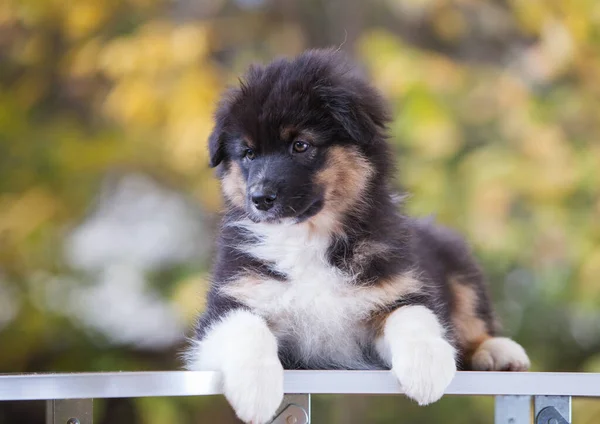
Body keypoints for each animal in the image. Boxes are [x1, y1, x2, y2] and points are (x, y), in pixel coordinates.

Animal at [184, 48, 528, 422]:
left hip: (457, 259)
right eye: (248, 153)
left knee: (473, 323)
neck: (307, 238)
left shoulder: (391, 290)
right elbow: (245, 328)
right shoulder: (230, 300)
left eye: (300, 145)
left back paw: (500, 352)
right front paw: (256, 391)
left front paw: (426, 370)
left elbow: (413, 316)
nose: (259, 199)